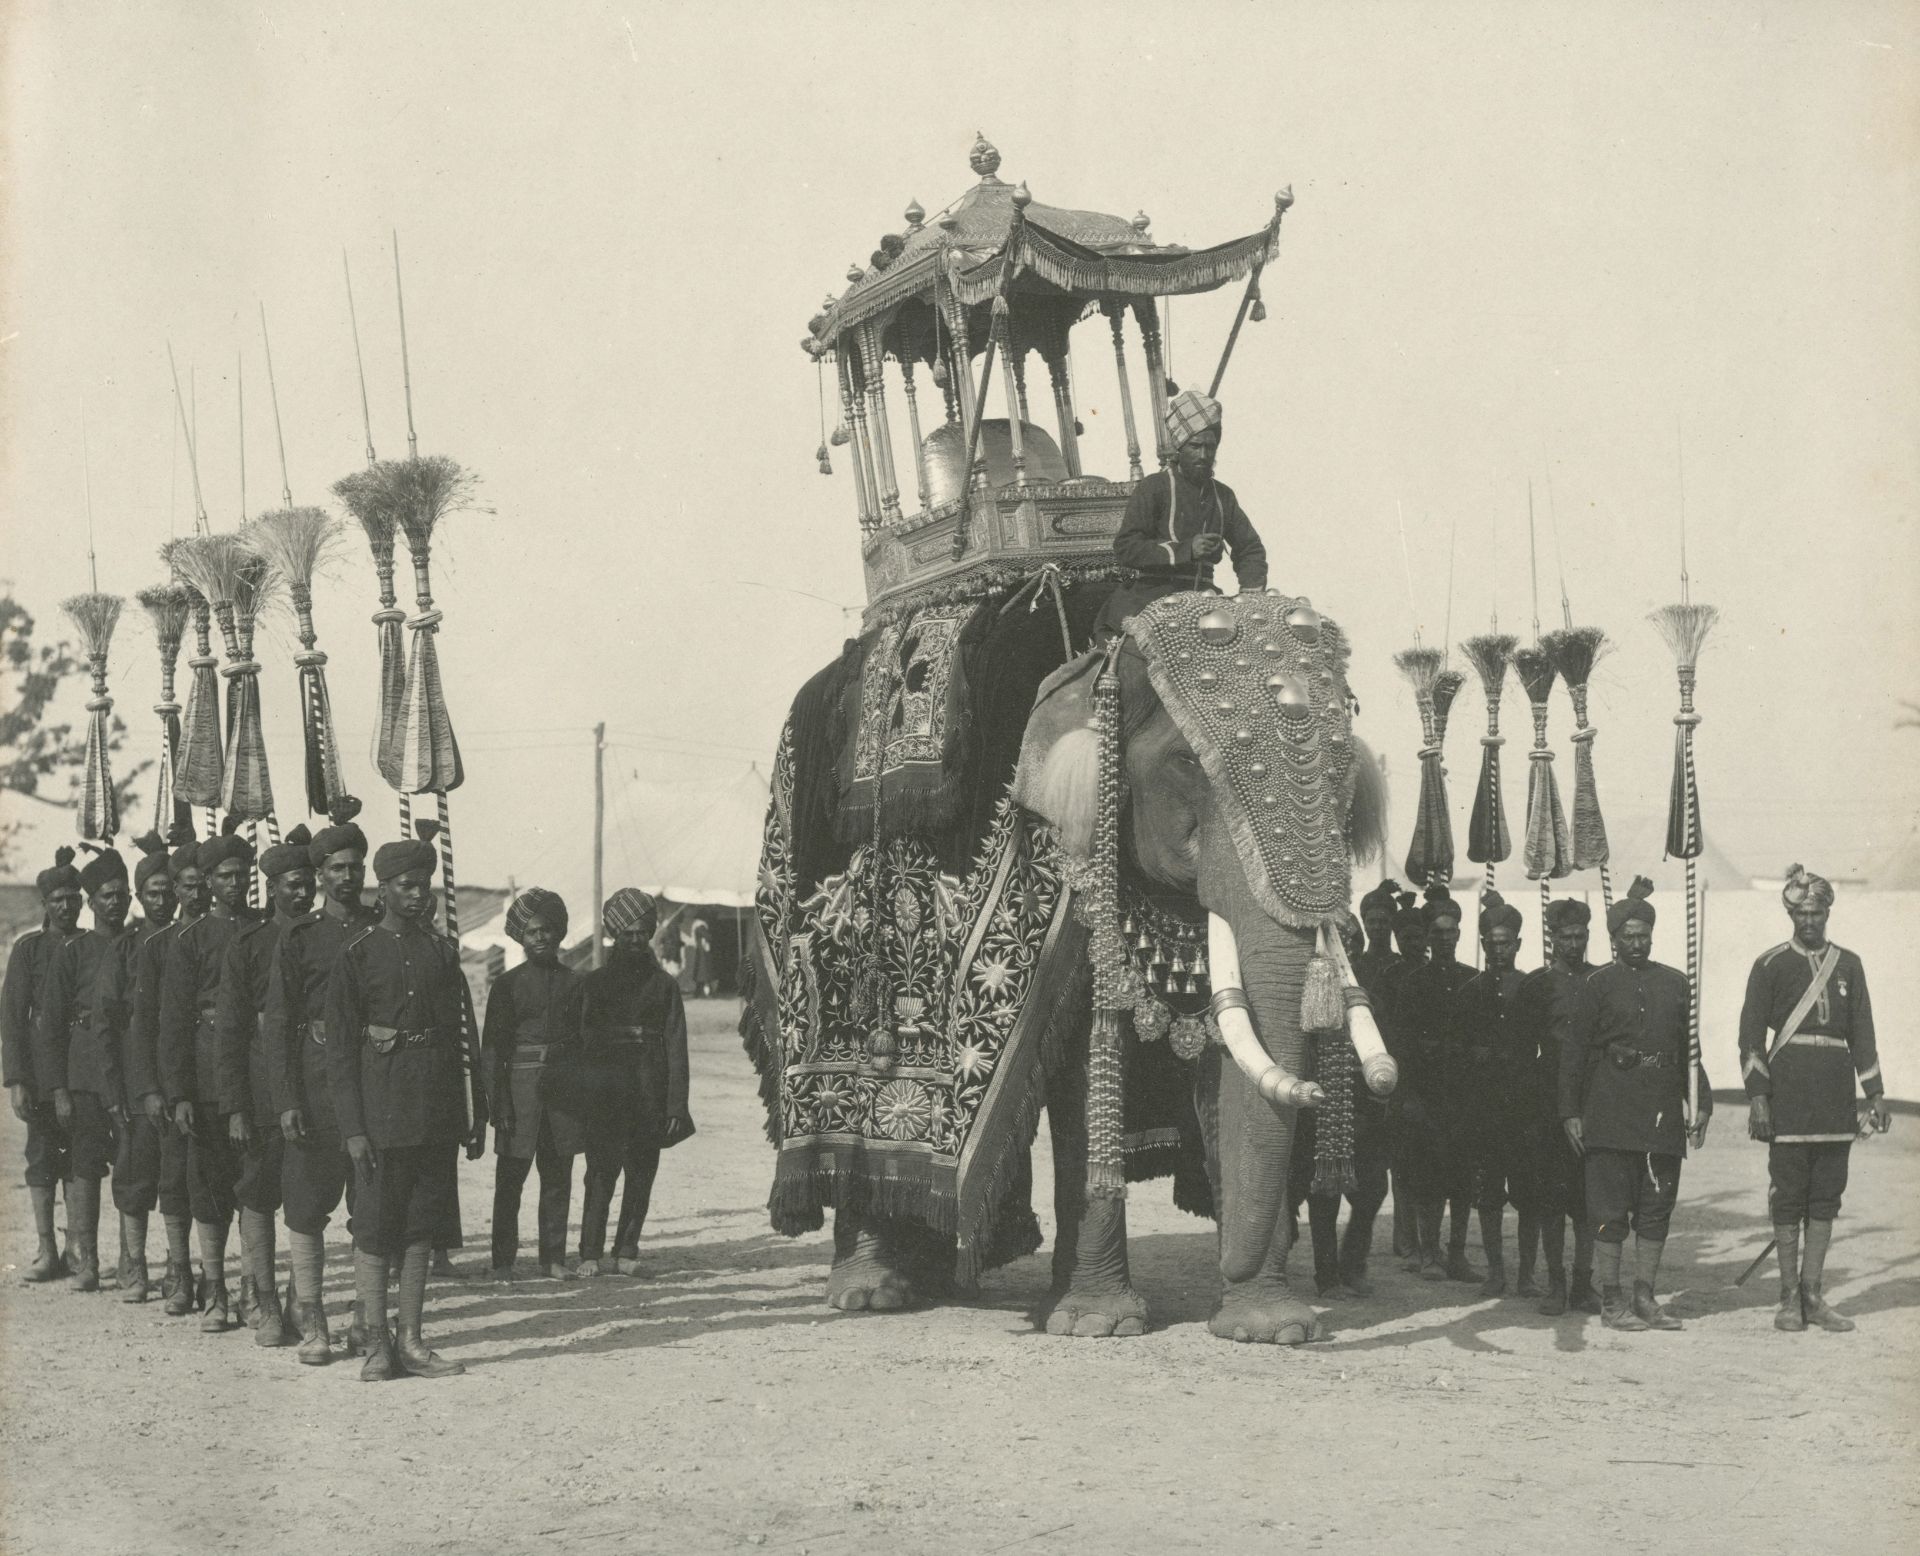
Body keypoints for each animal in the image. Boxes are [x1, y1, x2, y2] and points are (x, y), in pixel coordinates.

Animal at [741, 576, 1390, 1337]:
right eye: (1186, 764)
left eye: (1349, 778)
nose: (1328, 1091)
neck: (1106, 658)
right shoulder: (1055, 857)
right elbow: (1081, 1063)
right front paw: (1095, 1325)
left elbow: (1224, 1052)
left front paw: (1270, 1328)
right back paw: (872, 1292)